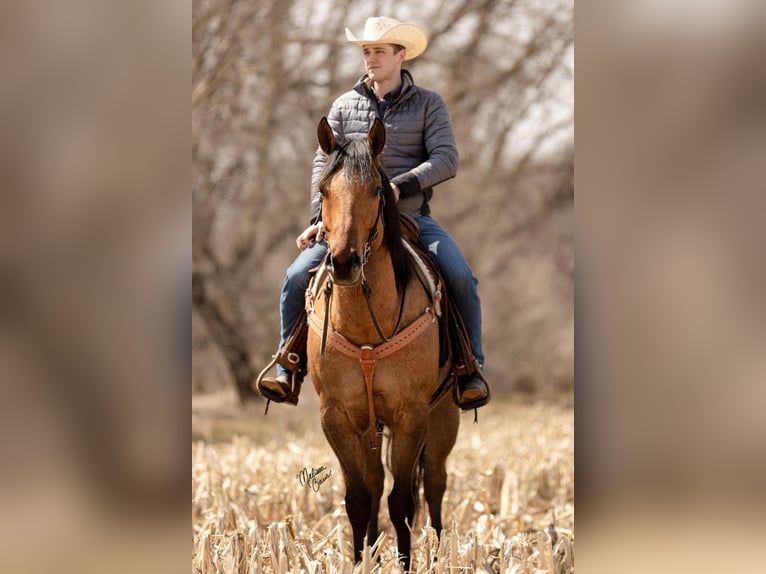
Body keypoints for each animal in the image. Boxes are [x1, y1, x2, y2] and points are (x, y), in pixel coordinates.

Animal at [308, 117, 462, 572]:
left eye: (377, 189)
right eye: (324, 189)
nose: (343, 263)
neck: (365, 329)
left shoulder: (412, 414)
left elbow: (403, 502)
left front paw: (405, 562)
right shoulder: (336, 416)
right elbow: (361, 497)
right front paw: (362, 559)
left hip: (444, 416)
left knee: (435, 483)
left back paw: (437, 552)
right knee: (377, 482)